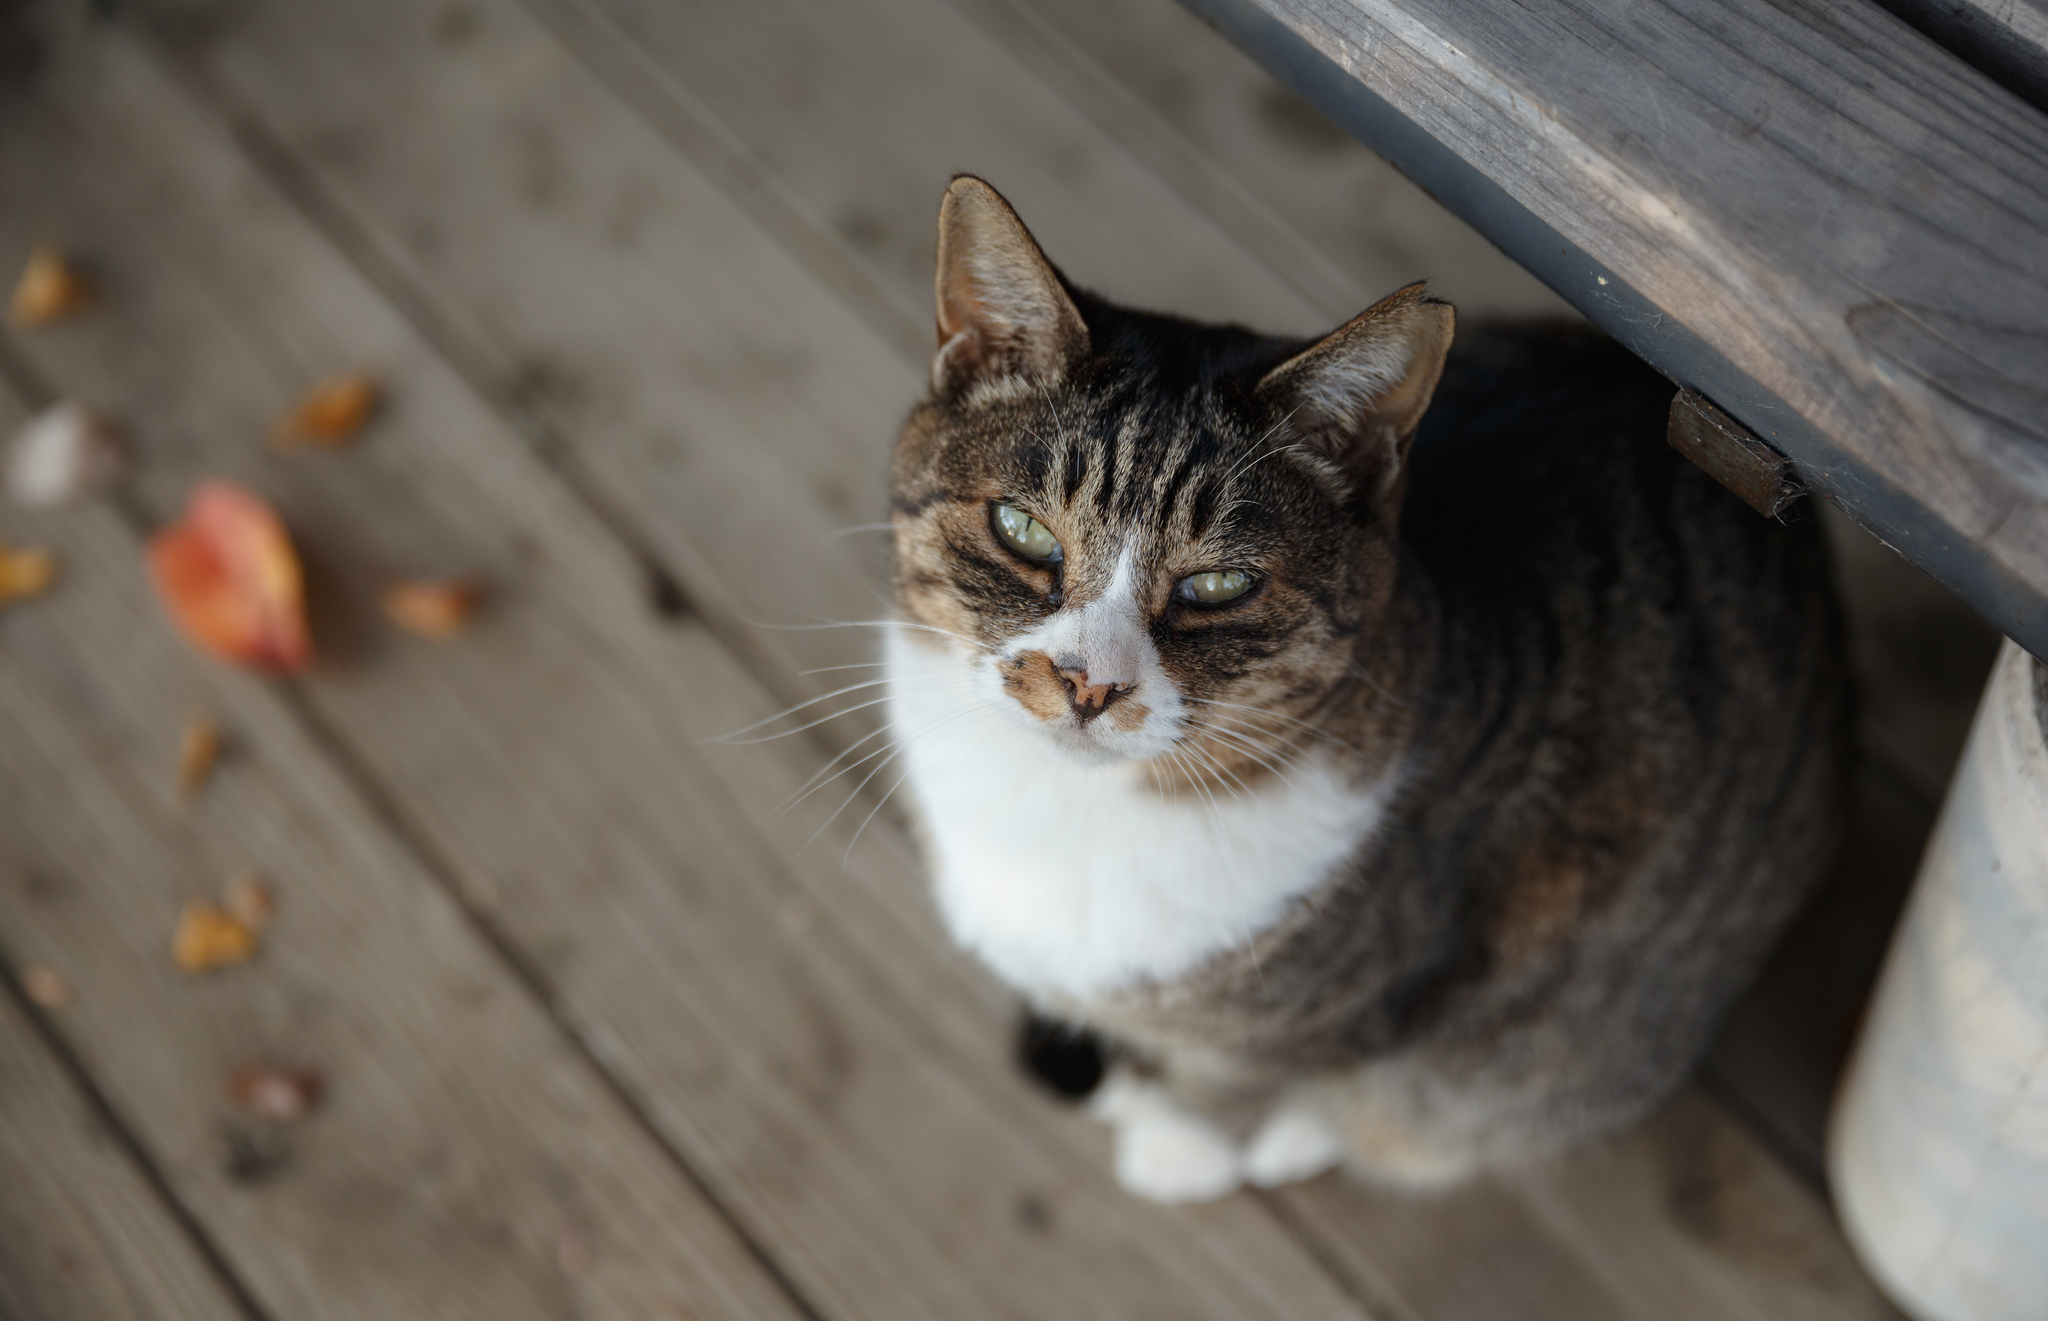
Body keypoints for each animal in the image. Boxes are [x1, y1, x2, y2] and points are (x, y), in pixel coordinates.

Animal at [888, 178, 1851, 1204]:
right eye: (1023, 530)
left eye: (1219, 584)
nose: (1086, 682)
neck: (1067, 814)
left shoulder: (1335, 1008)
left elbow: (1224, 1082)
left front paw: (1181, 1145)